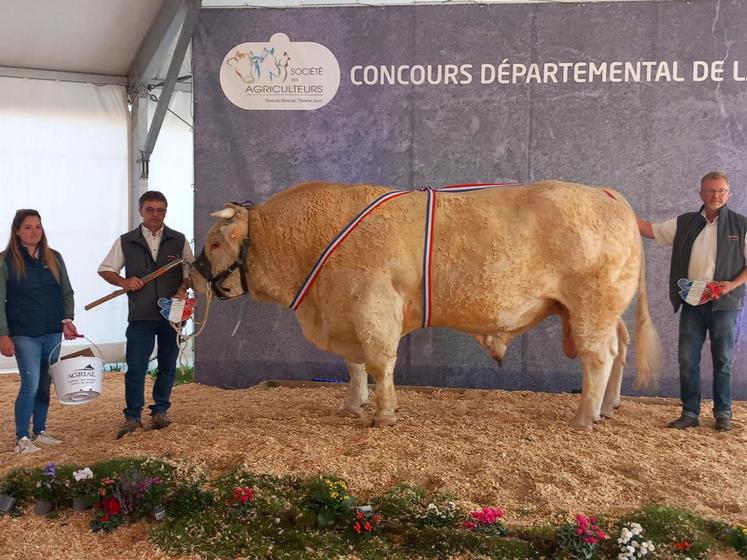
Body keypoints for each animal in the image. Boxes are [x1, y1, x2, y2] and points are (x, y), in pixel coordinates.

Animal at [191, 179, 660, 428]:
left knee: (599, 356)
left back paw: (585, 417)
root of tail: (609, 195)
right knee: (619, 348)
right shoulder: (346, 312)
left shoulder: (373, 307)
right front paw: (352, 405)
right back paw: (609, 407)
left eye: (214, 243)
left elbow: (380, 362)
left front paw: (383, 415)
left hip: (591, 305)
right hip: (604, 309)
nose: (192, 275)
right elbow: (354, 366)